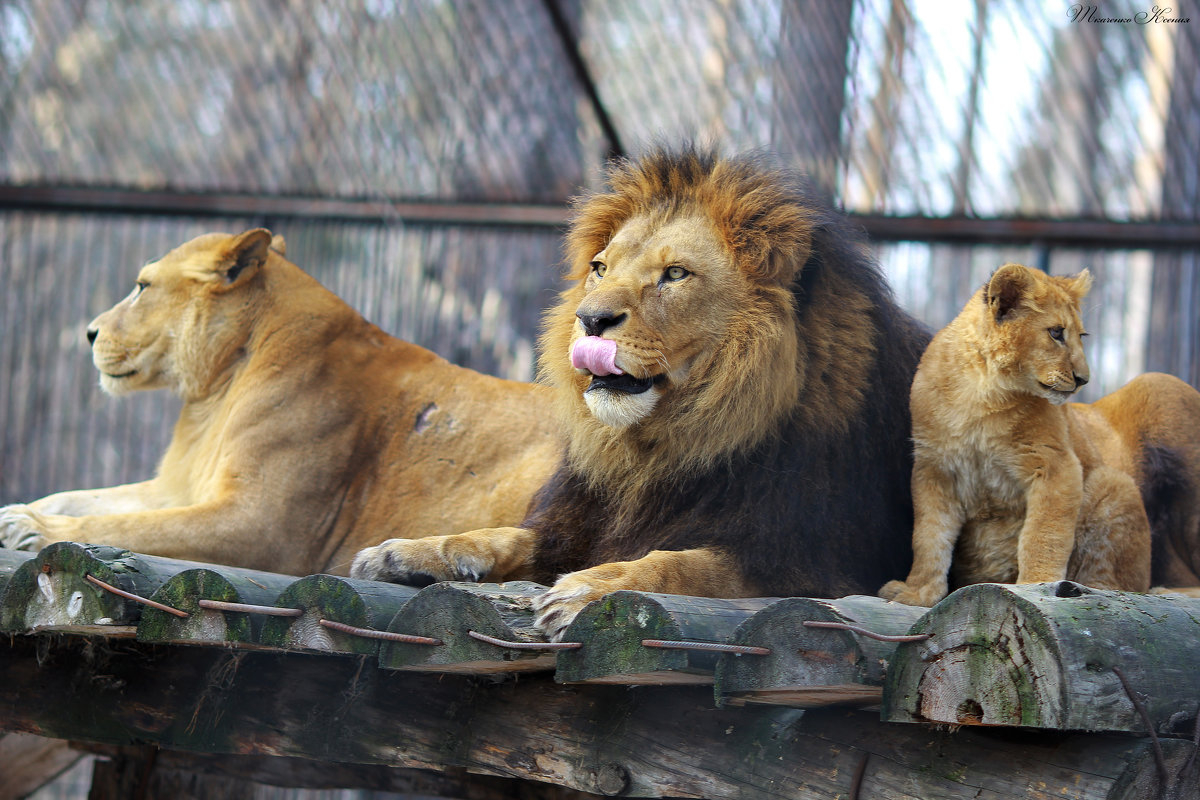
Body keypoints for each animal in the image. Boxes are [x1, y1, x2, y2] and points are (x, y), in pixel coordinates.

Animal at [0, 227, 559, 573]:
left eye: (142, 286)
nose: (89, 333)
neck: (214, 392)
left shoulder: (259, 523)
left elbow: (124, 524)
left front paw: (31, 530)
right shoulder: (182, 486)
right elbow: (89, 497)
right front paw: (17, 510)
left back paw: (409, 559)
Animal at [350, 148, 931, 638]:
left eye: (674, 274)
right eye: (599, 268)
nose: (589, 320)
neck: (661, 450)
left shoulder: (815, 562)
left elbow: (686, 564)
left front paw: (592, 587)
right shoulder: (580, 519)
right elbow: (505, 536)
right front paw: (409, 553)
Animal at [878, 263, 1200, 606]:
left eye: (1081, 335)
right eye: (1056, 333)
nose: (1083, 379)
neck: (982, 393)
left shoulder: (1057, 464)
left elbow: (1043, 535)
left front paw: (1036, 587)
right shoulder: (933, 469)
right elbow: (928, 537)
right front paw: (917, 593)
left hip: (1115, 482)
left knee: (1119, 587)